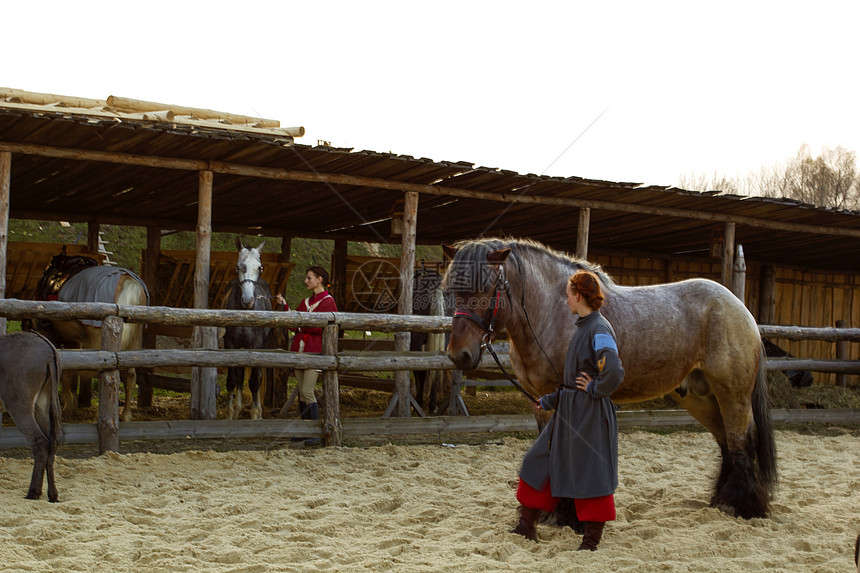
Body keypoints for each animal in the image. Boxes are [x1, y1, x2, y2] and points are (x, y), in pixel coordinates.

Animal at [0, 330, 63, 500]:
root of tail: (47, 348)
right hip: (42, 404)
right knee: (51, 443)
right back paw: (52, 495)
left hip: (20, 405)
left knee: (40, 442)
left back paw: (33, 493)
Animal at [444, 237, 780, 520]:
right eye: (452, 291)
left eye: (487, 288)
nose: (459, 354)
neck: (553, 313)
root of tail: (740, 308)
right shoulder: (540, 400)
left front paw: (567, 512)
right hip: (701, 397)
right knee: (726, 441)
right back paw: (721, 500)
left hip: (731, 394)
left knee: (742, 439)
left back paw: (741, 506)